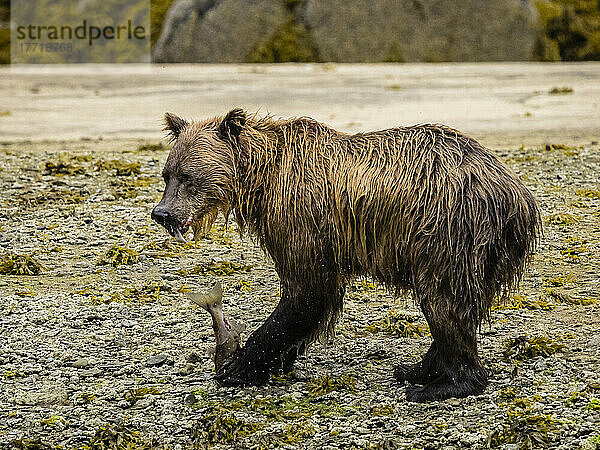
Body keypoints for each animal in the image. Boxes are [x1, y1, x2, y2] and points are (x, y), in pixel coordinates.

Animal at [152, 109, 540, 400]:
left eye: (188, 176)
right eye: (166, 174)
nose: (162, 213)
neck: (262, 179)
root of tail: (518, 194)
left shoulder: (301, 220)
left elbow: (306, 294)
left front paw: (239, 365)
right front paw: (273, 360)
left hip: (448, 231)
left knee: (443, 300)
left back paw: (442, 384)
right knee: (458, 306)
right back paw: (416, 368)